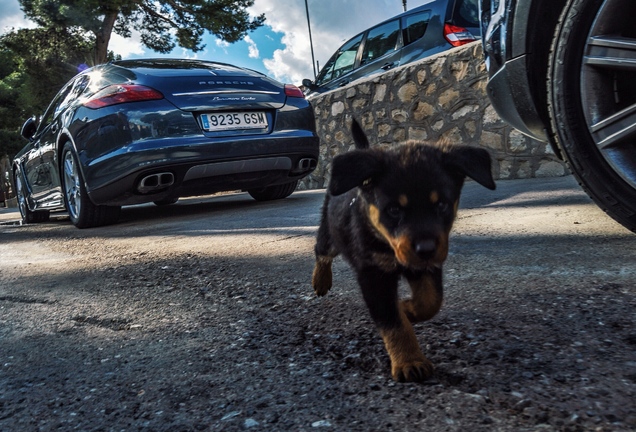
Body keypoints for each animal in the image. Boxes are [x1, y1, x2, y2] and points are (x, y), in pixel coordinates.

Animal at [314, 117, 496, 382]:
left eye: (441, 205)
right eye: (393, 210)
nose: (426, 249)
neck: (386, 243)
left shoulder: (427, 265)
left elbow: (431, 301)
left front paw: (407, 309)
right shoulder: (374, 274)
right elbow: (393, 323)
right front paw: (409, 361)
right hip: (329, 233)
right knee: (321, 252)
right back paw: (320, 281)